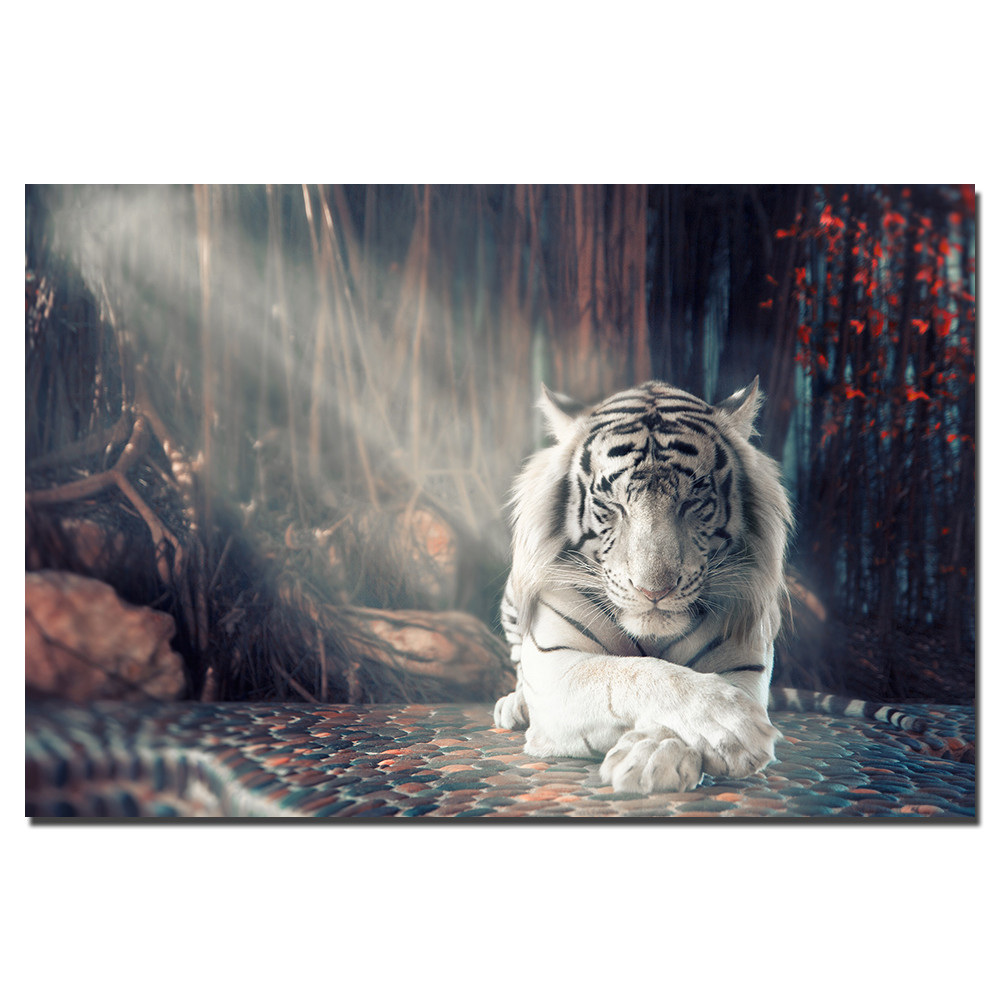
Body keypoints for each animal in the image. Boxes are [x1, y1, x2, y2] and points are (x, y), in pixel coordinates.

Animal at [493, 377, 795, 793]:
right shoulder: (557, 666)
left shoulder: (743, 664)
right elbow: (633, 673)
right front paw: (731, 725)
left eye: (693, 501)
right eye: (611, 504)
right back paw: (513, 705)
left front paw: (654, 755)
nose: (654, 591)